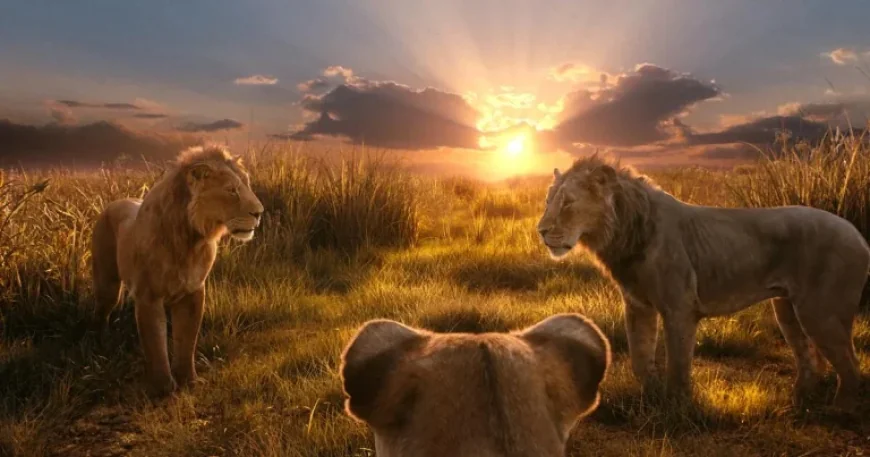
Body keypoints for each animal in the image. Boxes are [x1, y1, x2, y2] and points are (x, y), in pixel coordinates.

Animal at [91, 145, 264, 396]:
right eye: (232, 190)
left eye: (247, 185)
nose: (260, 213)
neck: (190, 240)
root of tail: (114, 202)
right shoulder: (148, 296)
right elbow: (155, 343)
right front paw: (163, 388)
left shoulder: (193, 292)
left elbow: (186, 340)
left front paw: (188, 381)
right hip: (107, 283)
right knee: (101, 313)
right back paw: (100, 348)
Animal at [537, 155, 869, 410]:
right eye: (548, 200)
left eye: (567, 203)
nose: (541, 231)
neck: (624, 232)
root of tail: (858, 235)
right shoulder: (638, 305)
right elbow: (639, 358)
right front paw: (650, 399)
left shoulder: (680, 308)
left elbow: (678, 364)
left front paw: (676, 408)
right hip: (786, 309)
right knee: (811, 359)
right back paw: (799, 403)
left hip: (820, 313)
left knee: (850, 368)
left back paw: (839, 412)